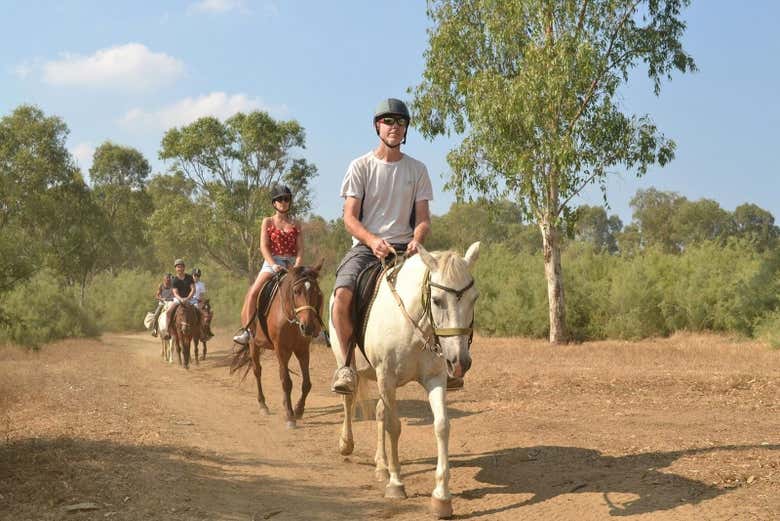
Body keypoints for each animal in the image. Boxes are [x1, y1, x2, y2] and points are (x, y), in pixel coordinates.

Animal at [233, 262, 328, 428]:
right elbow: (286, 382)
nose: (308, 327)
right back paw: (263, 405)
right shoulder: (281, 349)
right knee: (257, 371)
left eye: (317, 292)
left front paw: (298, 410)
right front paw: (290, 416)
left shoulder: (302, 350)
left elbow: (306, 383)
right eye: (296, 291)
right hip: (253, 344)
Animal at [330, 242, 478, 516]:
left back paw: (381, 466)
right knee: (349, 398)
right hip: (348, 361)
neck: (414, 324)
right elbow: (394, 426)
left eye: (474, 299)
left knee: (379, 411)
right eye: (437, 300)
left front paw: (442, 497)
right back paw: (347, 444)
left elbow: (442, 426)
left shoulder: (434, 378)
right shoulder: (386, 377)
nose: (460, 362)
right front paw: (396, 484)